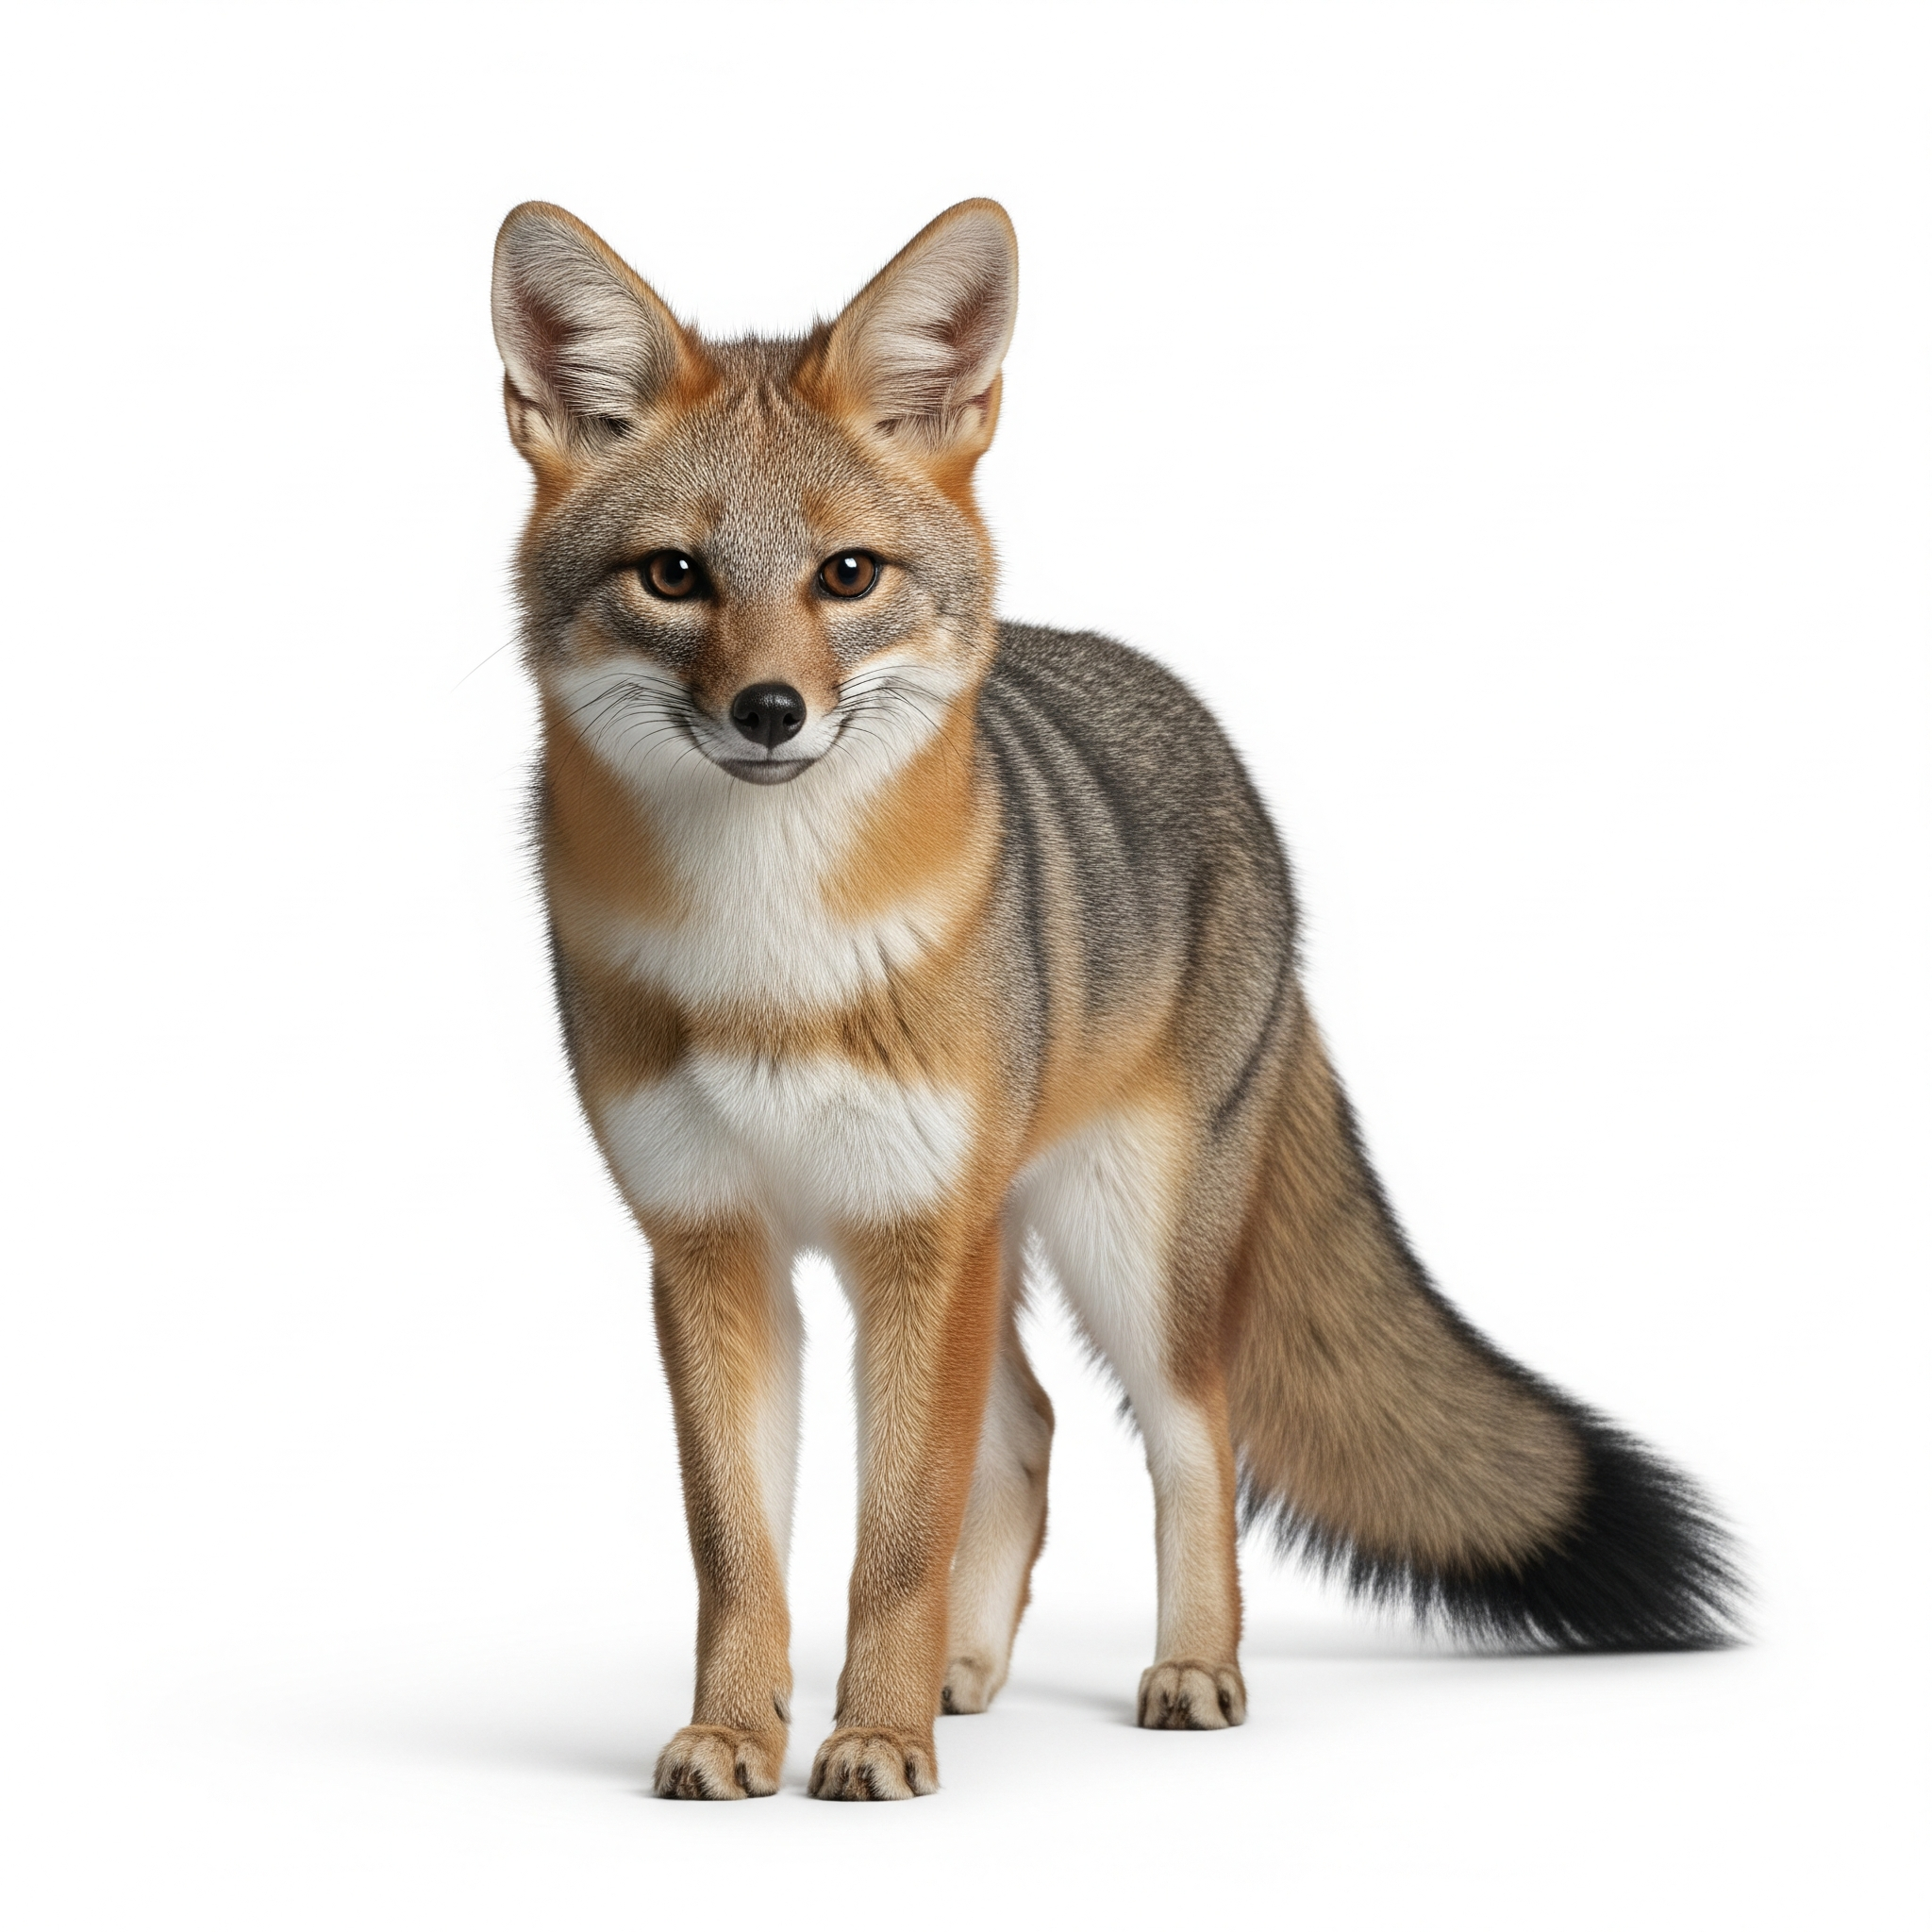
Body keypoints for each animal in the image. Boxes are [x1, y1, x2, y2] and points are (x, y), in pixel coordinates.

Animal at [489, 196, 1740, 1801]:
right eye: (674, 577)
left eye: (847, 576)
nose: (771, 714)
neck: (769, 961)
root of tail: (1211, 741)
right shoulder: (711, 1245)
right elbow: (738, 1550)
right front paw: (738, 1730)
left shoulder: (920, 1241)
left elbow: (895, 1540)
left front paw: (870, 1739)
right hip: (1002, 1246)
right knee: (1026, 1428)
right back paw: (962, 1674)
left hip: (1122, 1247)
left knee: (1191, 1435)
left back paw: (1188, 1669)